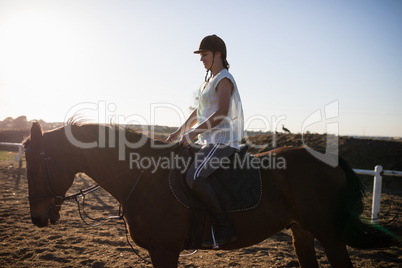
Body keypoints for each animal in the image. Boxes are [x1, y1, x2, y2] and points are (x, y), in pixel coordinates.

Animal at [22, 122, 392, 268]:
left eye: (36, 168)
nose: (37, 219)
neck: (142, 177)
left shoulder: (164, 250)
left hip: (328, 234)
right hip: (302, 231)